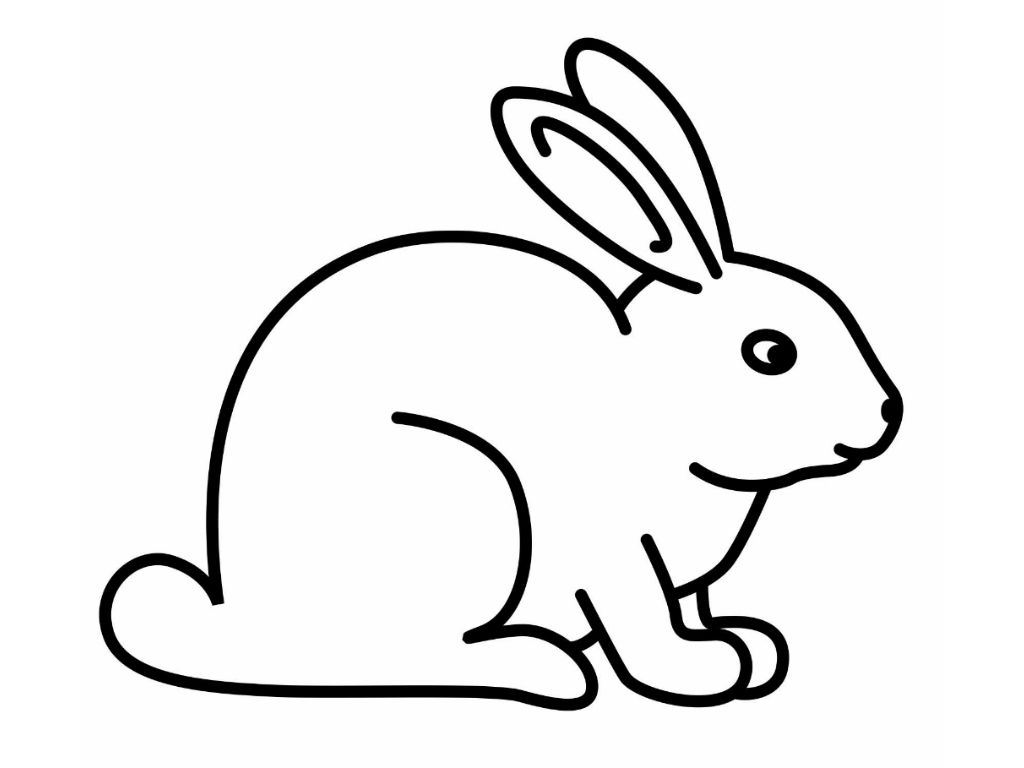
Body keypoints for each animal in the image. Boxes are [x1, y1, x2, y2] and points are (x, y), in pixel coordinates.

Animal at [99, 38, 902, 709]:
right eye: (771, 353)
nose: (886, 416)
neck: (653, 406)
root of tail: (248, 617)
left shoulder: (683, 578)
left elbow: (691, 606)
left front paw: (748, 646)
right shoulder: (612, 556)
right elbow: (640, 622)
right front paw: (699, 671)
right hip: (464, 496)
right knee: (406, 657)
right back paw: (542, 667)